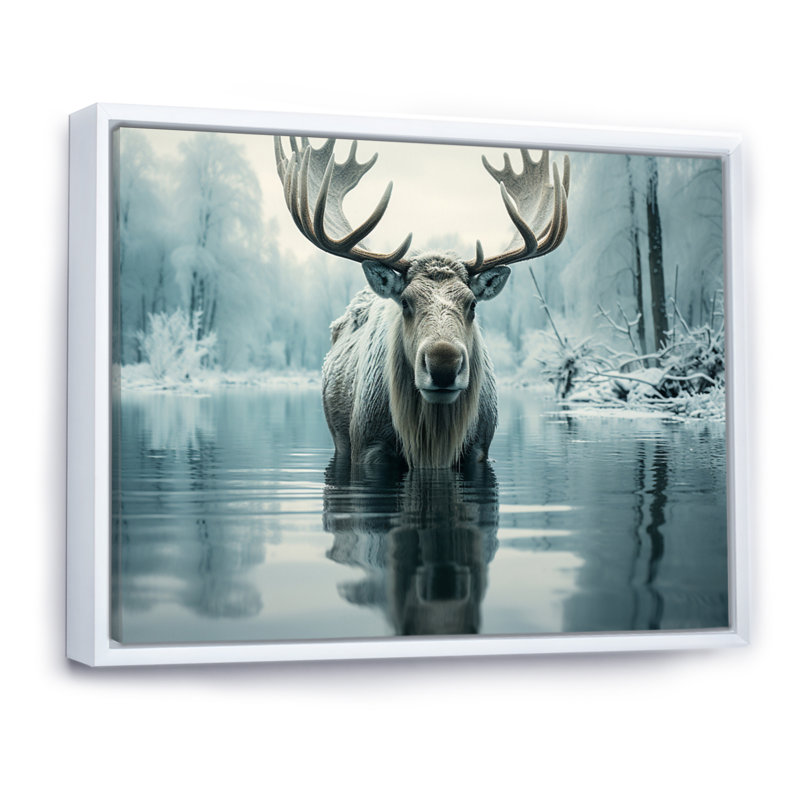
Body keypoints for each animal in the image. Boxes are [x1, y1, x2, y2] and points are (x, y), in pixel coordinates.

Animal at [274, 136, 570, 469]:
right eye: (405, 302)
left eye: (472, 305)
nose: (443, 364)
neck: (433, 444)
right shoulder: (368, 447)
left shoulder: (479, 449)